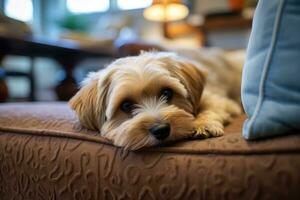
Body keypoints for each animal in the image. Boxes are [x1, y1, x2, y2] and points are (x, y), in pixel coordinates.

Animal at [69, 48, 243, 150]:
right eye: (126, 105)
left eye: (166, 93)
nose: (161, 130)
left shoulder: (219, 99)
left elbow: (211, 107)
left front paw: (203, 123)